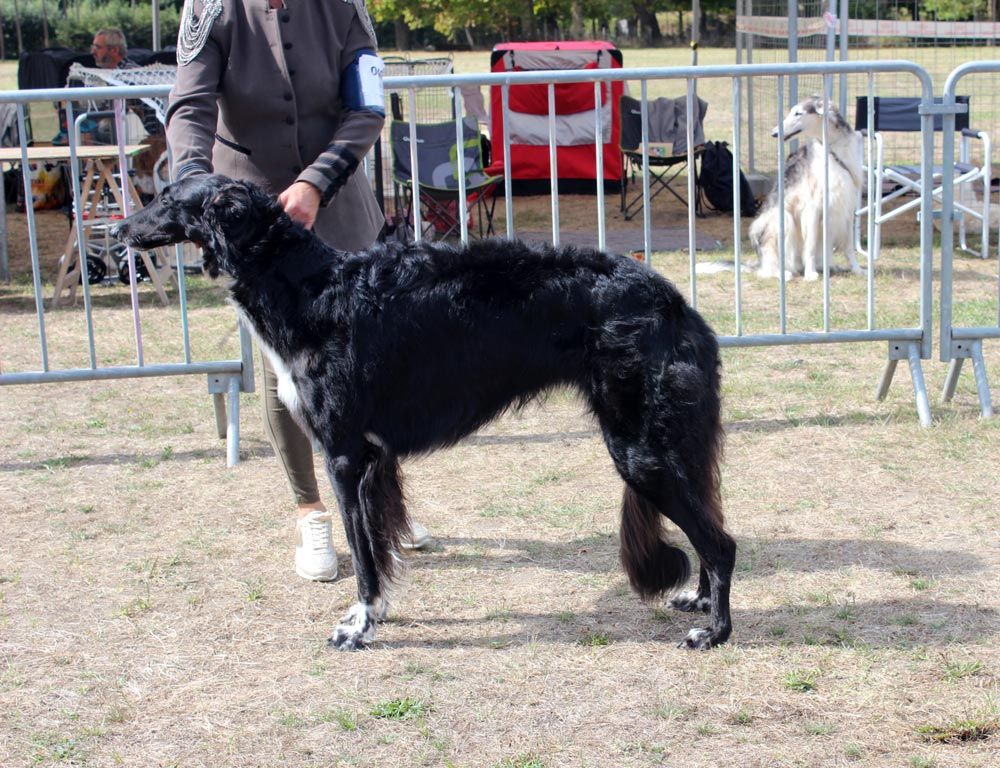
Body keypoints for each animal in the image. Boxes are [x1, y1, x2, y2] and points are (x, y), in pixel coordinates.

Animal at [113, 177, 740, 652]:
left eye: (168, 197)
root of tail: (674, 301)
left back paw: (714, 632)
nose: (116, 229)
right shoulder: (370, 461)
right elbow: (376, 544)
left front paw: (359, 625)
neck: (309, 286)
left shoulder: (344, 455)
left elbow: (364, 557)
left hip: (640, 451)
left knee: (722, 544)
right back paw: (700, 599)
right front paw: (377, 613)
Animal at [752, 93, 864, 280]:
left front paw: (857, 269)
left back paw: (829, 266)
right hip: (781, 220)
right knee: (771, 267)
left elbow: (849, 247)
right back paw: (784, 273)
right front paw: (810, 274)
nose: (774, 133)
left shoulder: (847, 205)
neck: (832, 149)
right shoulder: (812, 207)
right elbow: (810, 247)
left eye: (798, 113)